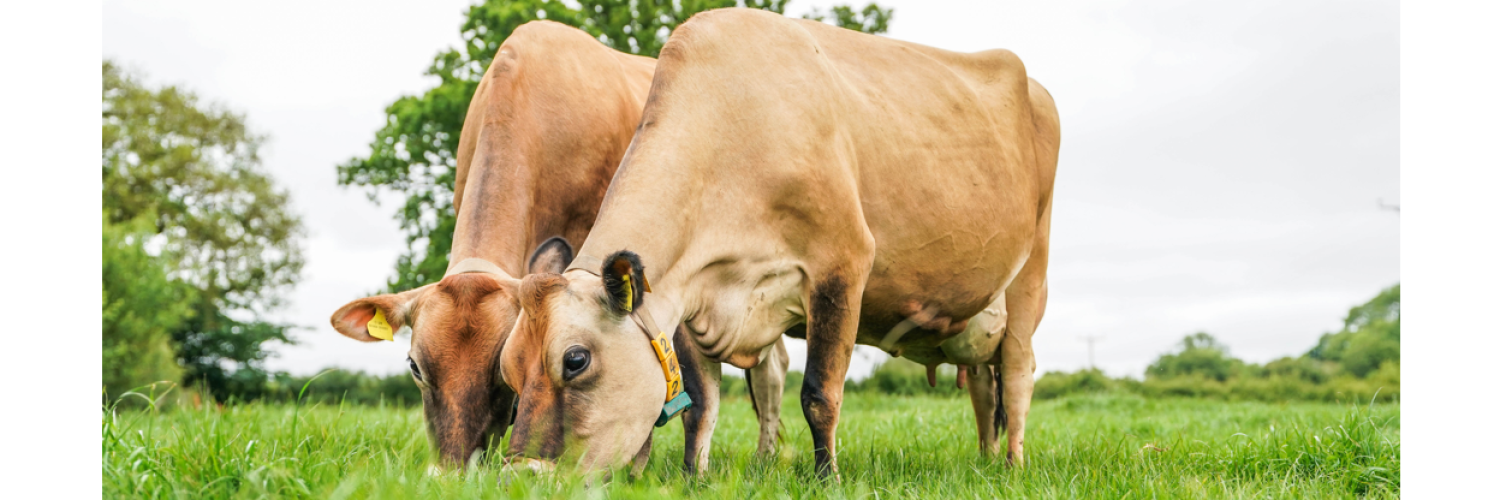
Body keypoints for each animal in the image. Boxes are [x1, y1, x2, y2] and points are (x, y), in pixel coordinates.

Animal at [498, 8, 1060, 478]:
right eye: (507, 369)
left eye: (576, 360)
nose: (521, 475)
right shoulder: (686, 297)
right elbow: (702, 404)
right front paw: (694, 477)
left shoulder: (843, 265)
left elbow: (819, 394)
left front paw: (827, 478)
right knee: (985, 386)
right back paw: (986, 458)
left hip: (1031, 271)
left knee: (1017, 374)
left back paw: (1012, 466)